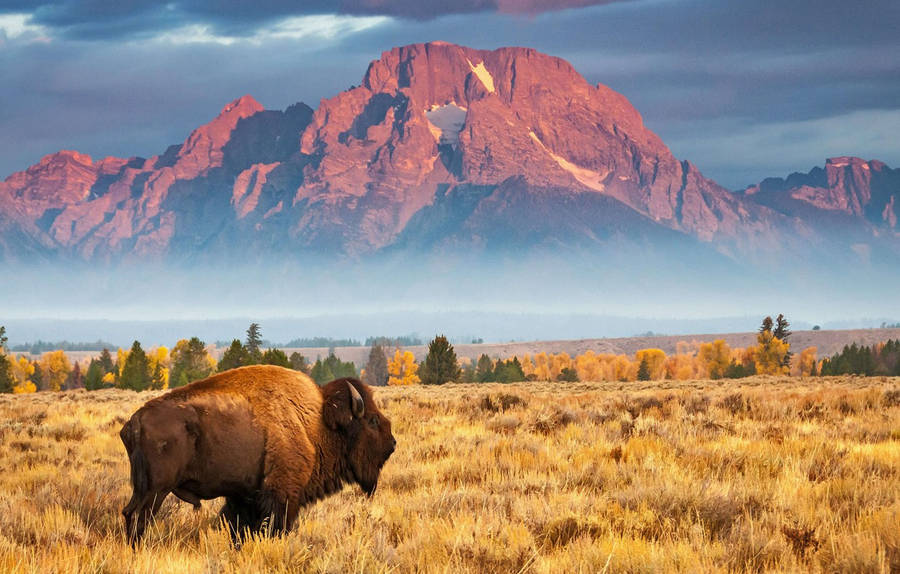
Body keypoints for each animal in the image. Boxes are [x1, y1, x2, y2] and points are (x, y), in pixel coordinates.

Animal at [120, 366, 398, 548]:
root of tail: (135, 421)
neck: (317, 422)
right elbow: (275, 527)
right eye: (372, 421)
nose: (393, 443)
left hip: (143, 488)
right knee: (139, 517)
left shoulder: (245, 495)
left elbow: (238, 528)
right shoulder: (282, 494)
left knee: (129, 513)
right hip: (155, 490)